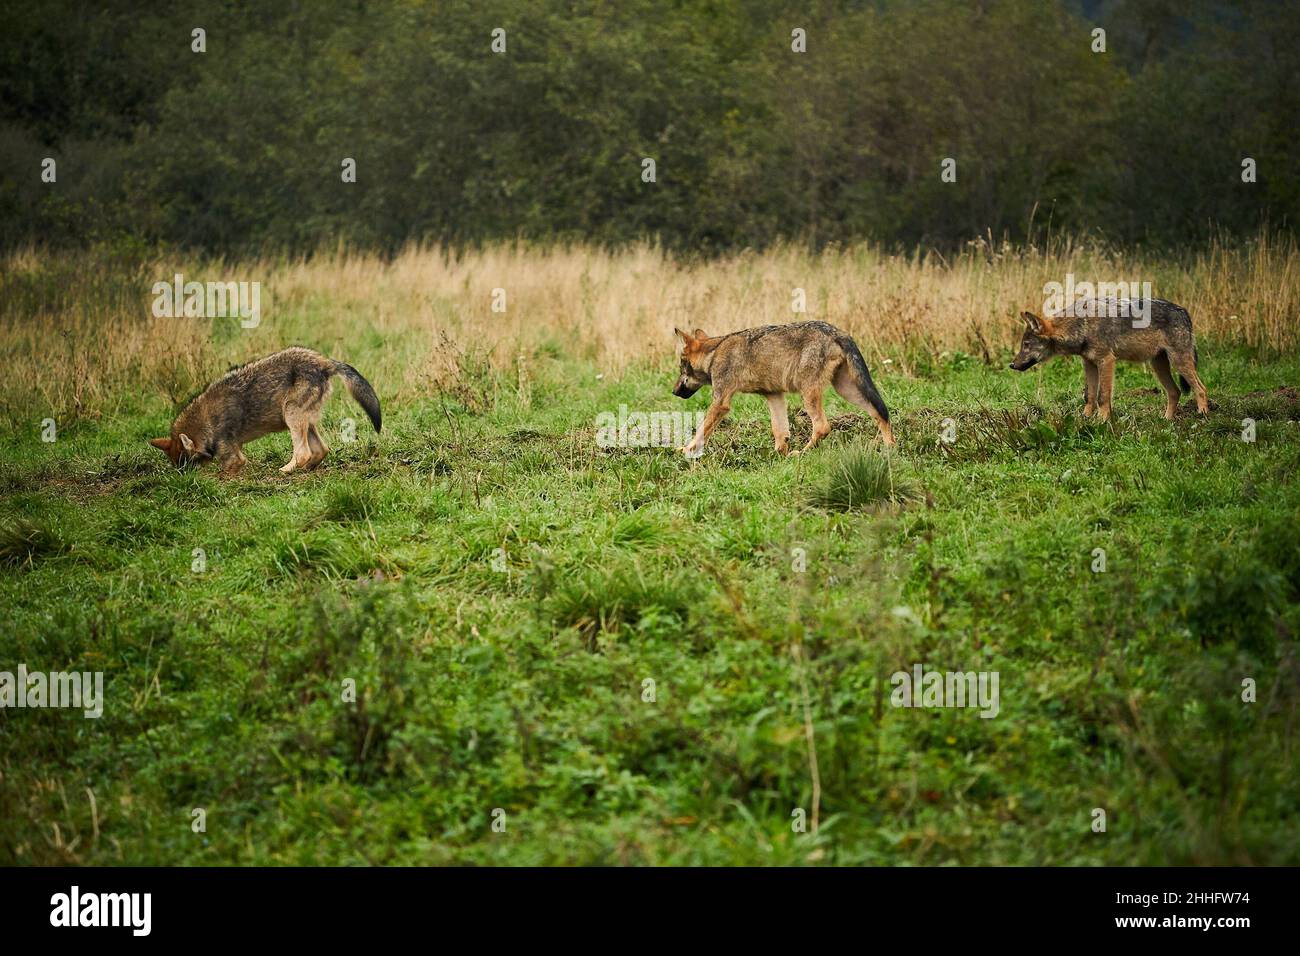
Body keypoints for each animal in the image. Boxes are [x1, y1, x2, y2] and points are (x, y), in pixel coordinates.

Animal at [148, 345, 379, 476]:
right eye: (178, 466)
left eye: (188, 465)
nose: (183, 481)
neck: (206, 422)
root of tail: (324, 361)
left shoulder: (233, 458)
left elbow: (225, 472)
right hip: (305, 421)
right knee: (322, 450)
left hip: (291, 415)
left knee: (303, 453)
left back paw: (286, 471)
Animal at [670, 321, 894, 455]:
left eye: (681, 367)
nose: (673, 391)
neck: (715, 353)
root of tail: (838, 332)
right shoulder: (774, 395)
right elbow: (779, 430)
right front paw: (779, 454)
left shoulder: (720, 402)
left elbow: (701, 431)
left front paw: (686, 450)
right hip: (846, 391)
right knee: (881, 412)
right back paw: (890, 448)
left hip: (809, 394)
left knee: (823, 427)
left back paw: (802, 453)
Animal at [1003, 297, 1206, 421]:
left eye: (1026, 345)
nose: (1012, 365)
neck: (1082, 326)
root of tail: (1184, 311)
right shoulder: (1089, 364)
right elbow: (1090, 396)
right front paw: (1085, 419)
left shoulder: (1106, 361)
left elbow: (1102, 396)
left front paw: (1102, 421)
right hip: (1159, 366)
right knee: (1175, 392)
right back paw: (1166, 421)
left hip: (1179, 363)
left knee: (1201, 389)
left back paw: (1203, 415)